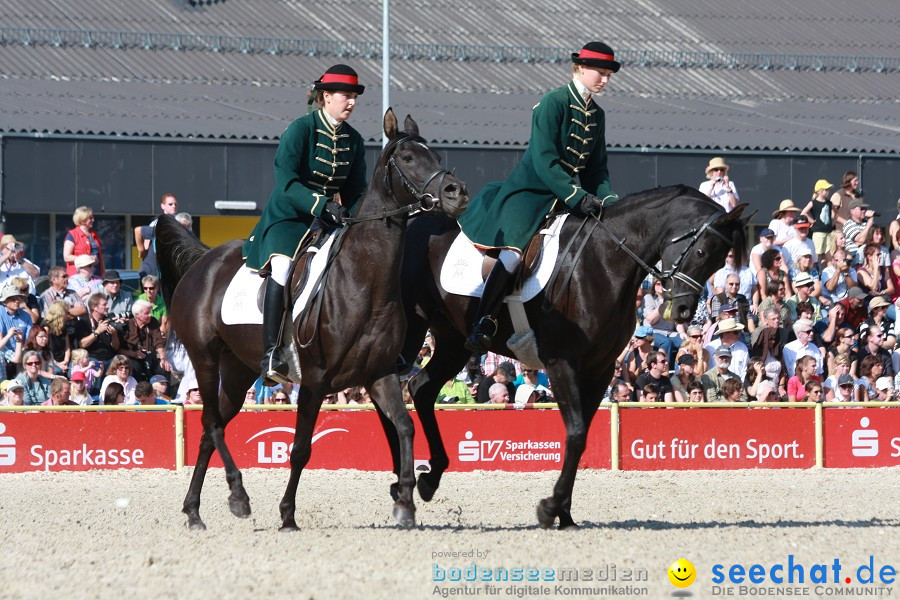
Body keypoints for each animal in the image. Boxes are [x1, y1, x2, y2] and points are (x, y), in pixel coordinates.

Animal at [156, 110, 472, 532]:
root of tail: (202, 262)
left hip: (238, 369)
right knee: (211, 423)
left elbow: (404, 426)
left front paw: (406, 500)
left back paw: (194, 510)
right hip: (204, 359)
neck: (362, 280)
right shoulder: (315, 381)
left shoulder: (380, 373)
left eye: (435, 155)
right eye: (407, 158)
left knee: (211, 429)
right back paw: (238, 496)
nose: (457, 192)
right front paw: (288, 515)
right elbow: (301, 449)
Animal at [390, 188, 748, 528]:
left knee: (421, 388)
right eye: (700, 252)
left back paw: (428, 479)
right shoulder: (561, 362)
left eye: (720, 262)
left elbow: (581, 435)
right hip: (410, 331)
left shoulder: (599, 369)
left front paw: (563, 513)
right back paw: (402, 484)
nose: (684, 310)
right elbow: (575, 433)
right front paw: (551, 508)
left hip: (454, 341)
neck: (605, 262)